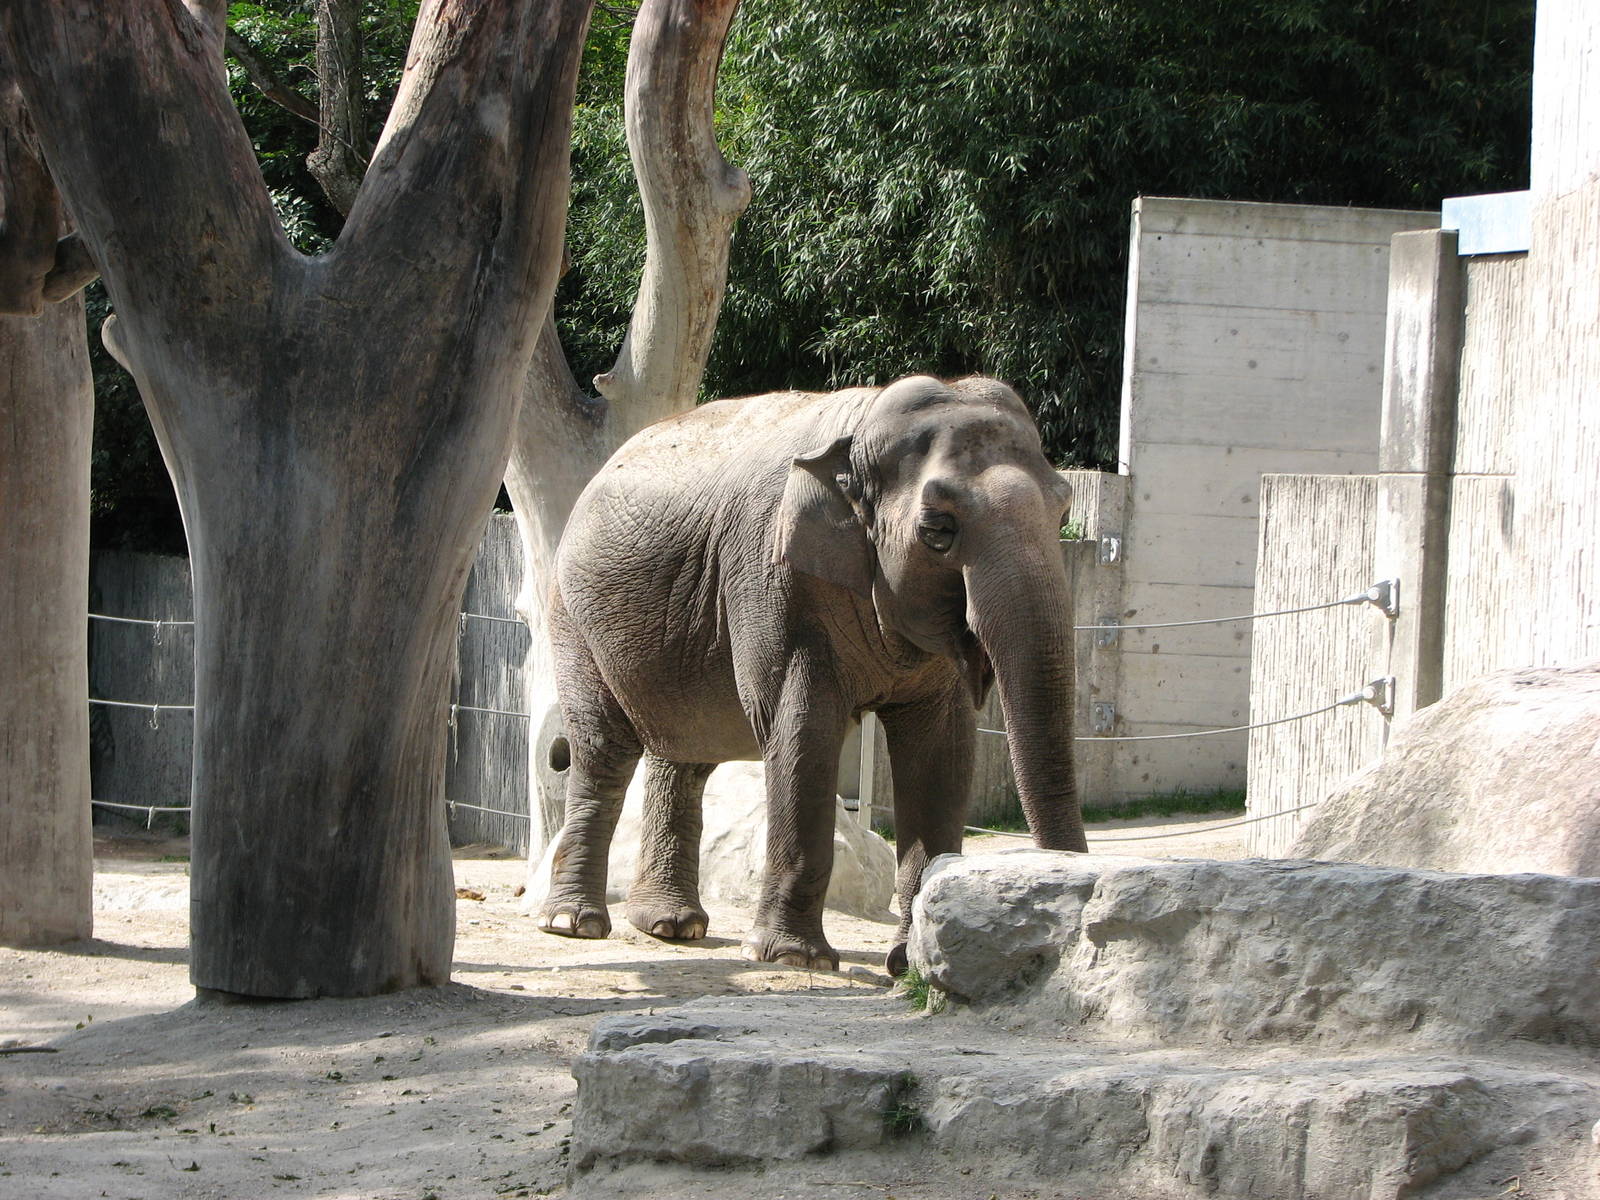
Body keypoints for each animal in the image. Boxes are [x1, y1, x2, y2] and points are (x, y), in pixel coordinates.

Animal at [537, 374, 1088, 974]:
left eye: (1063, 513)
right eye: (938, 530)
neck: (861, 427)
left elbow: (941, 752)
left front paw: (907, 962)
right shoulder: (772, 576)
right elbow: (803, 729)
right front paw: (795, 959)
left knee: (683, 755)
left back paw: (671, 926)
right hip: (572, 616)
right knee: (604, 750)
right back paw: (574, 924)